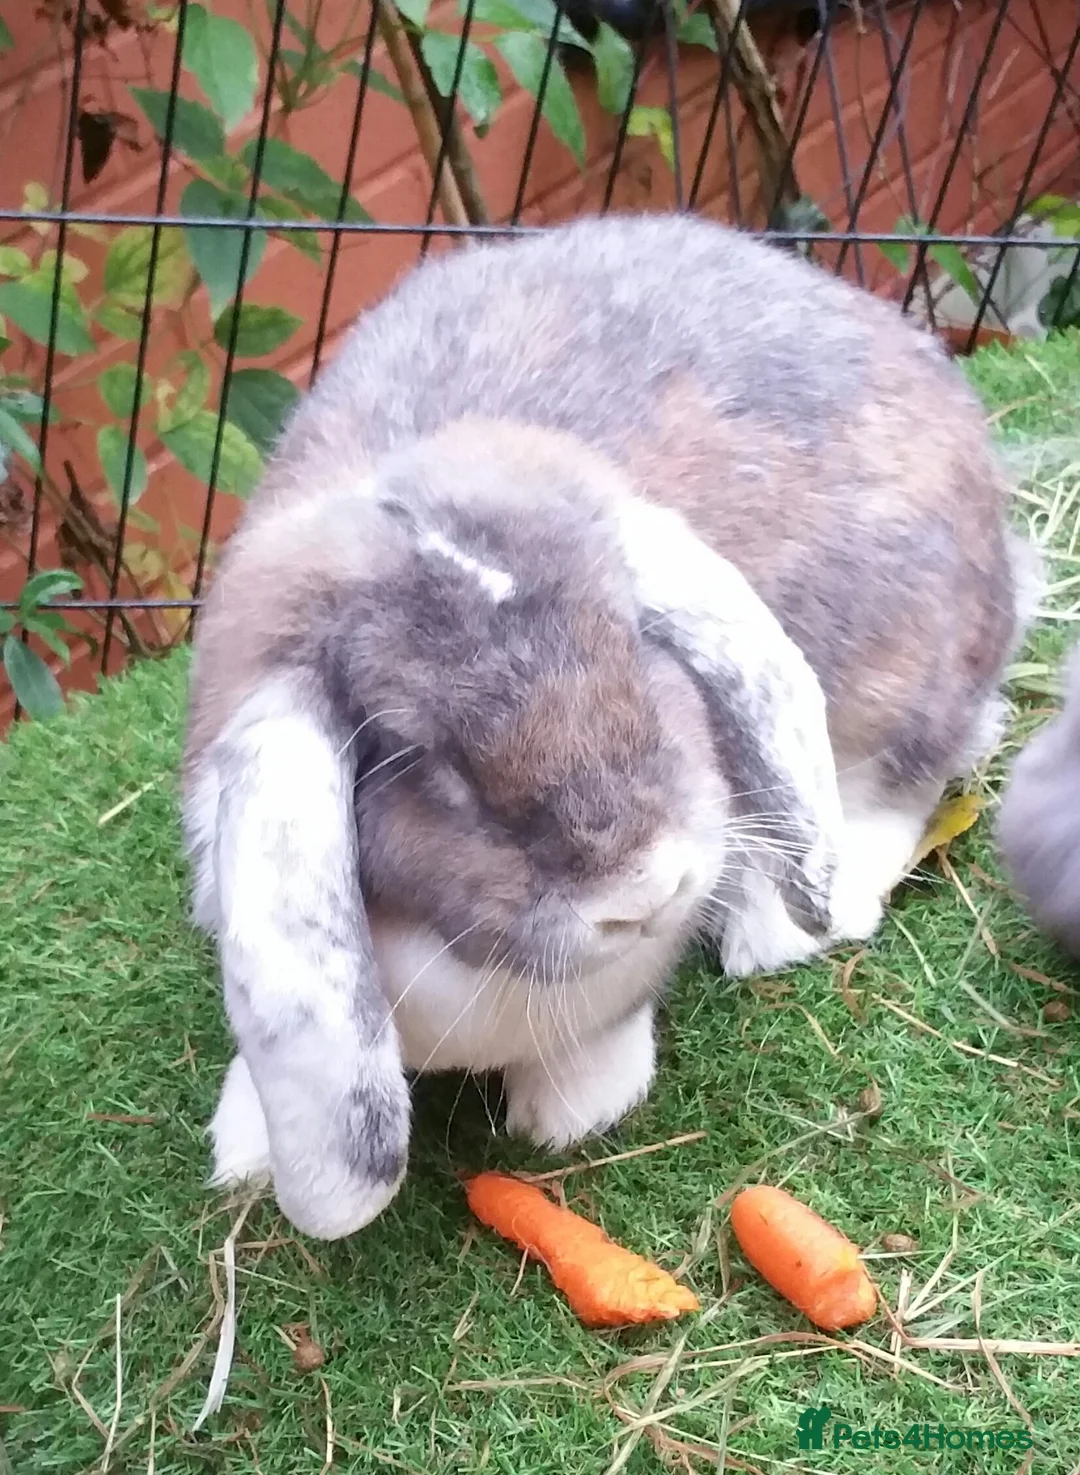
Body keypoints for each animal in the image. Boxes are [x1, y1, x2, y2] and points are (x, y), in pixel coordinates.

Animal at [183, 212, 1032, 1240]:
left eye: (634, 637)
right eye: (420, 753)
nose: (647, 888)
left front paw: (569, 1113)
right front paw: (242, 1156)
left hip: (901, 668)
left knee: (908, 777)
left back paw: (783, 924)